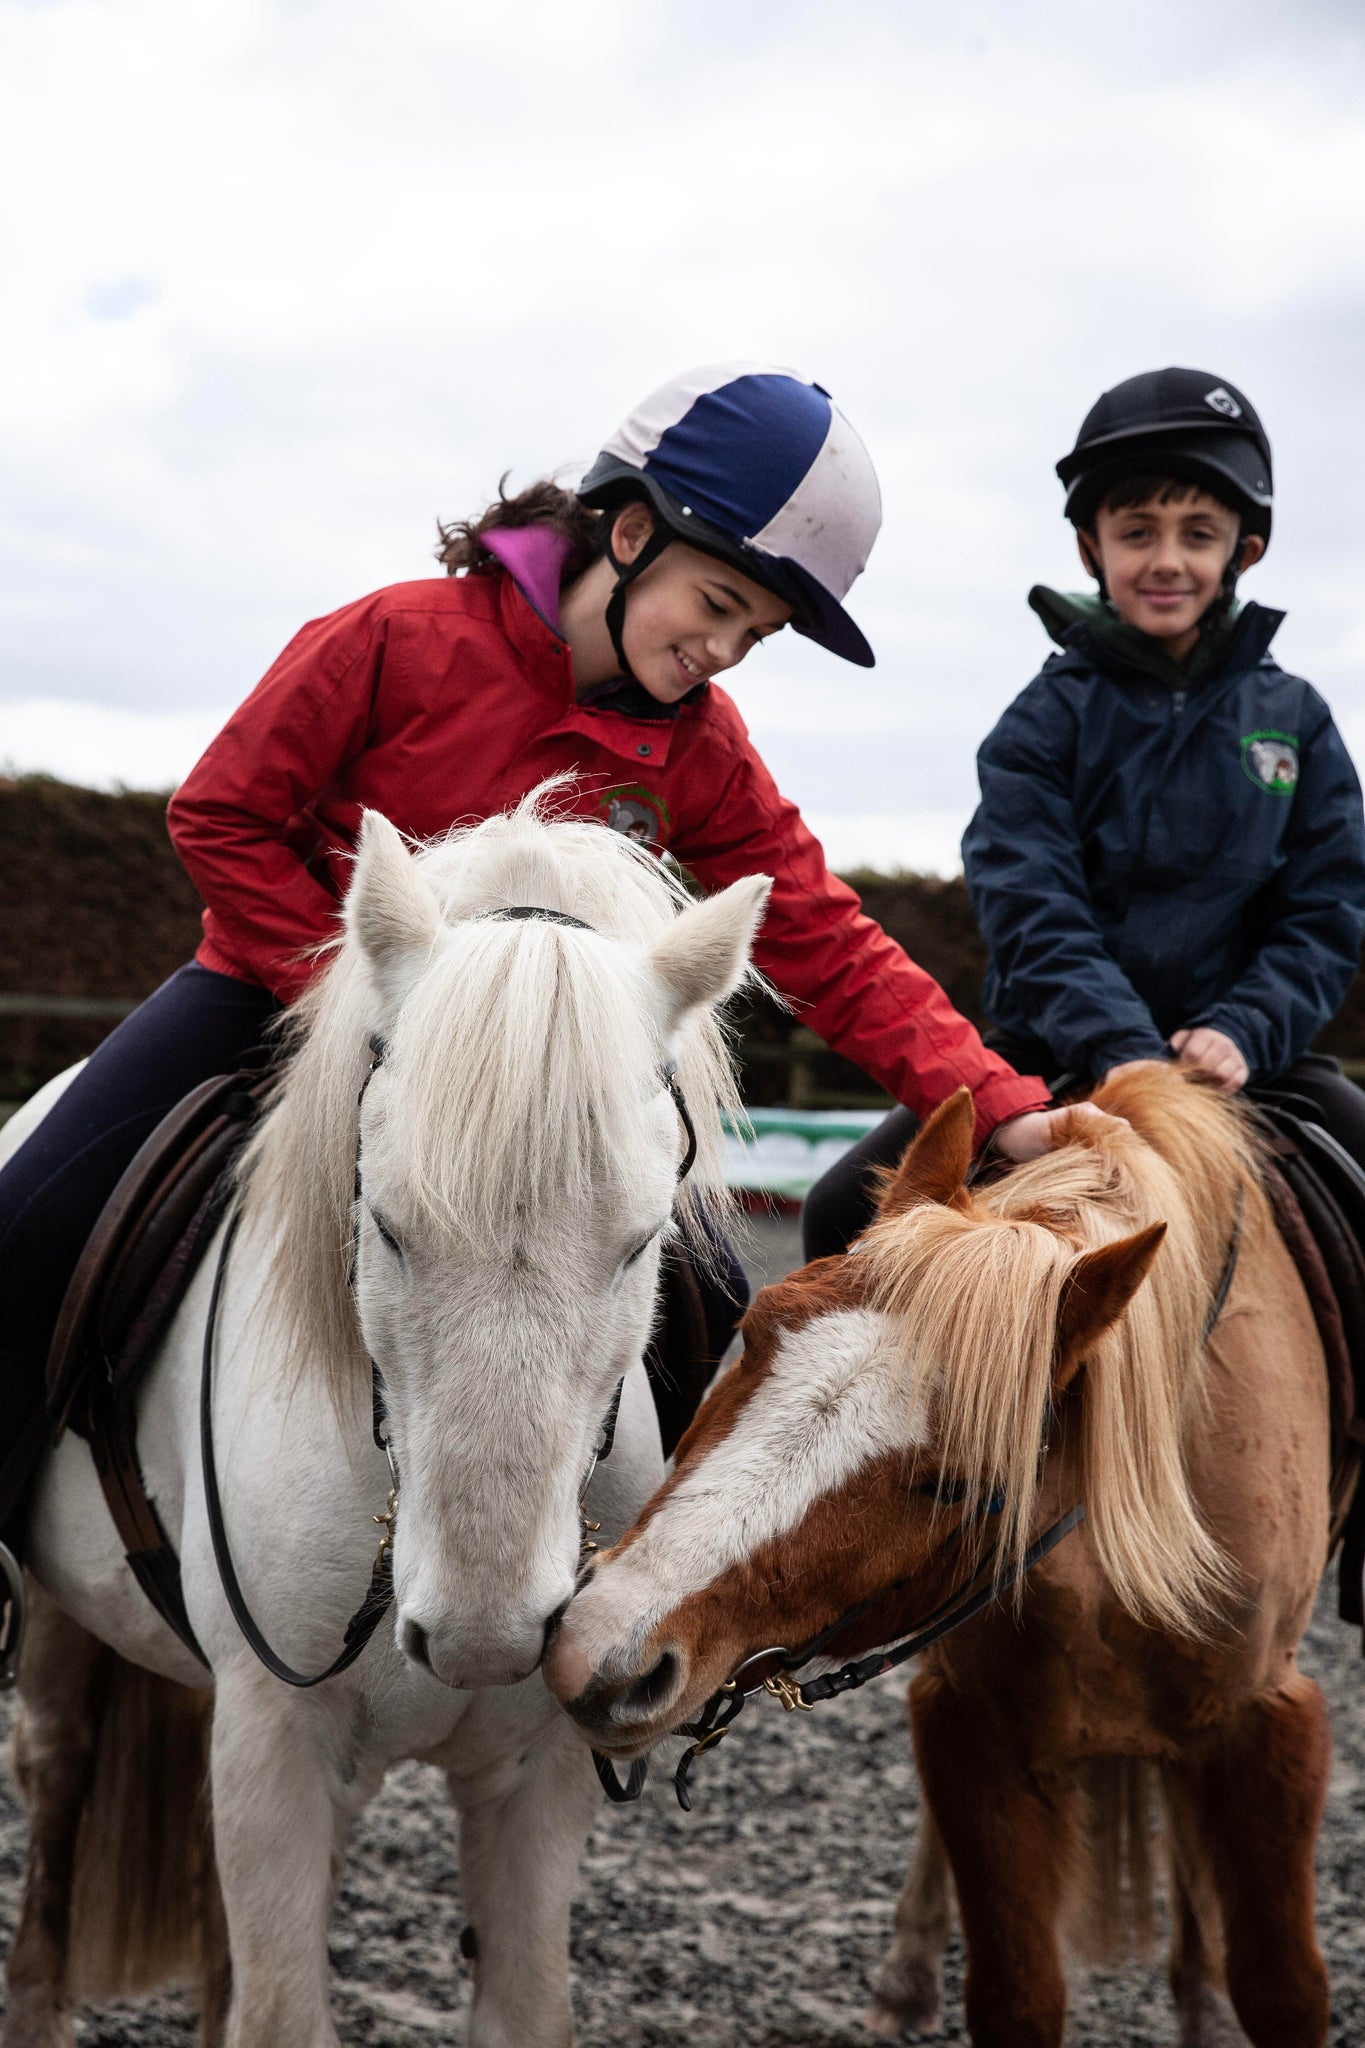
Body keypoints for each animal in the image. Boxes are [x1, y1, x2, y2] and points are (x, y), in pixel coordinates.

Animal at [0, 794, 769, 2048]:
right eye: (391, 1224)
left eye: (642, 1241)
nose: (488, 1630)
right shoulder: (275, 1742)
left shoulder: (536, 1778)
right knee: (58, 1800)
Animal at [548, 1064, 1334, 2048]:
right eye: (758, 1330)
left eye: (956, 1483)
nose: (602, 1651)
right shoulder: (972, 1730)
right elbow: (1014, 1990)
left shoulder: (1267, 1728)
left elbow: (1280, 1985)